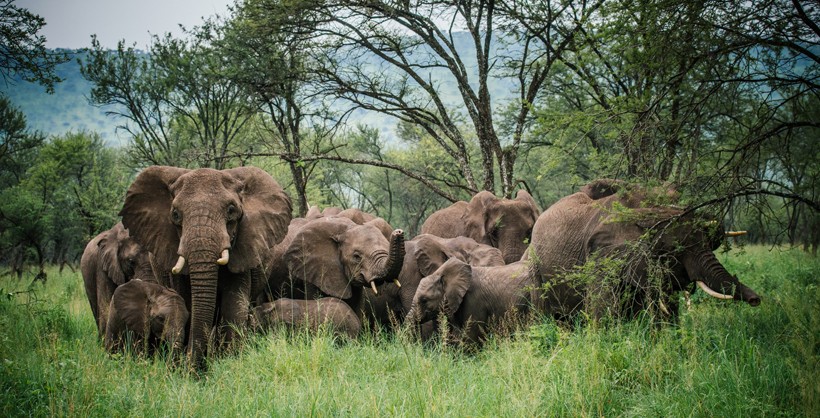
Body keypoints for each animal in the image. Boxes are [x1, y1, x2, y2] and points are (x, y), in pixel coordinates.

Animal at [117, 165, 292, 368]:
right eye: (175, 214)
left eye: (231, 210)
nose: (190, 366)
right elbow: (187, 302)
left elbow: (234, 305)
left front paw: (229, 363)